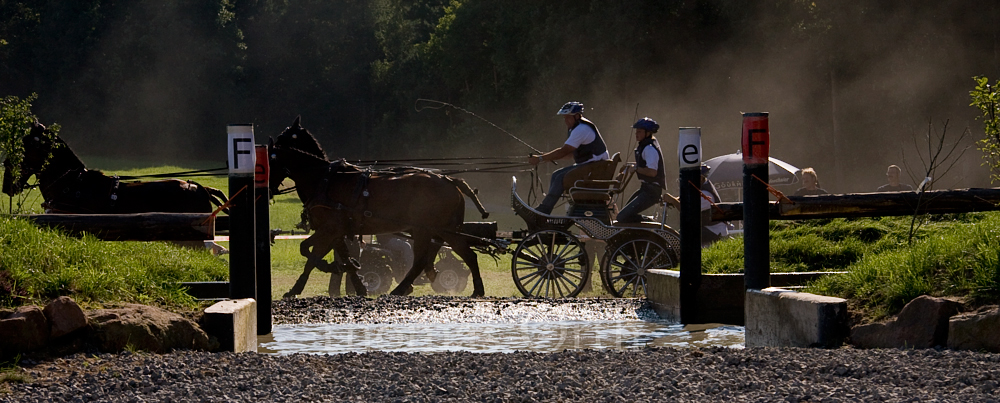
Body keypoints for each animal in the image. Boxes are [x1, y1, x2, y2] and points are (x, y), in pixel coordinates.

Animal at [268, 117, 490, 300]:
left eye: (272, 159)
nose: (268, 188)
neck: (326, 179)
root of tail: (451, 181)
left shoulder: (329, 229)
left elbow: (309, 255)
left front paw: (296, 288)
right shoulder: (335, 232)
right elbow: (330, 255)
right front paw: (356, 282)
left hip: (432, 230)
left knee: (454, 257)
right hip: (433, 231)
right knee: (433, 259)